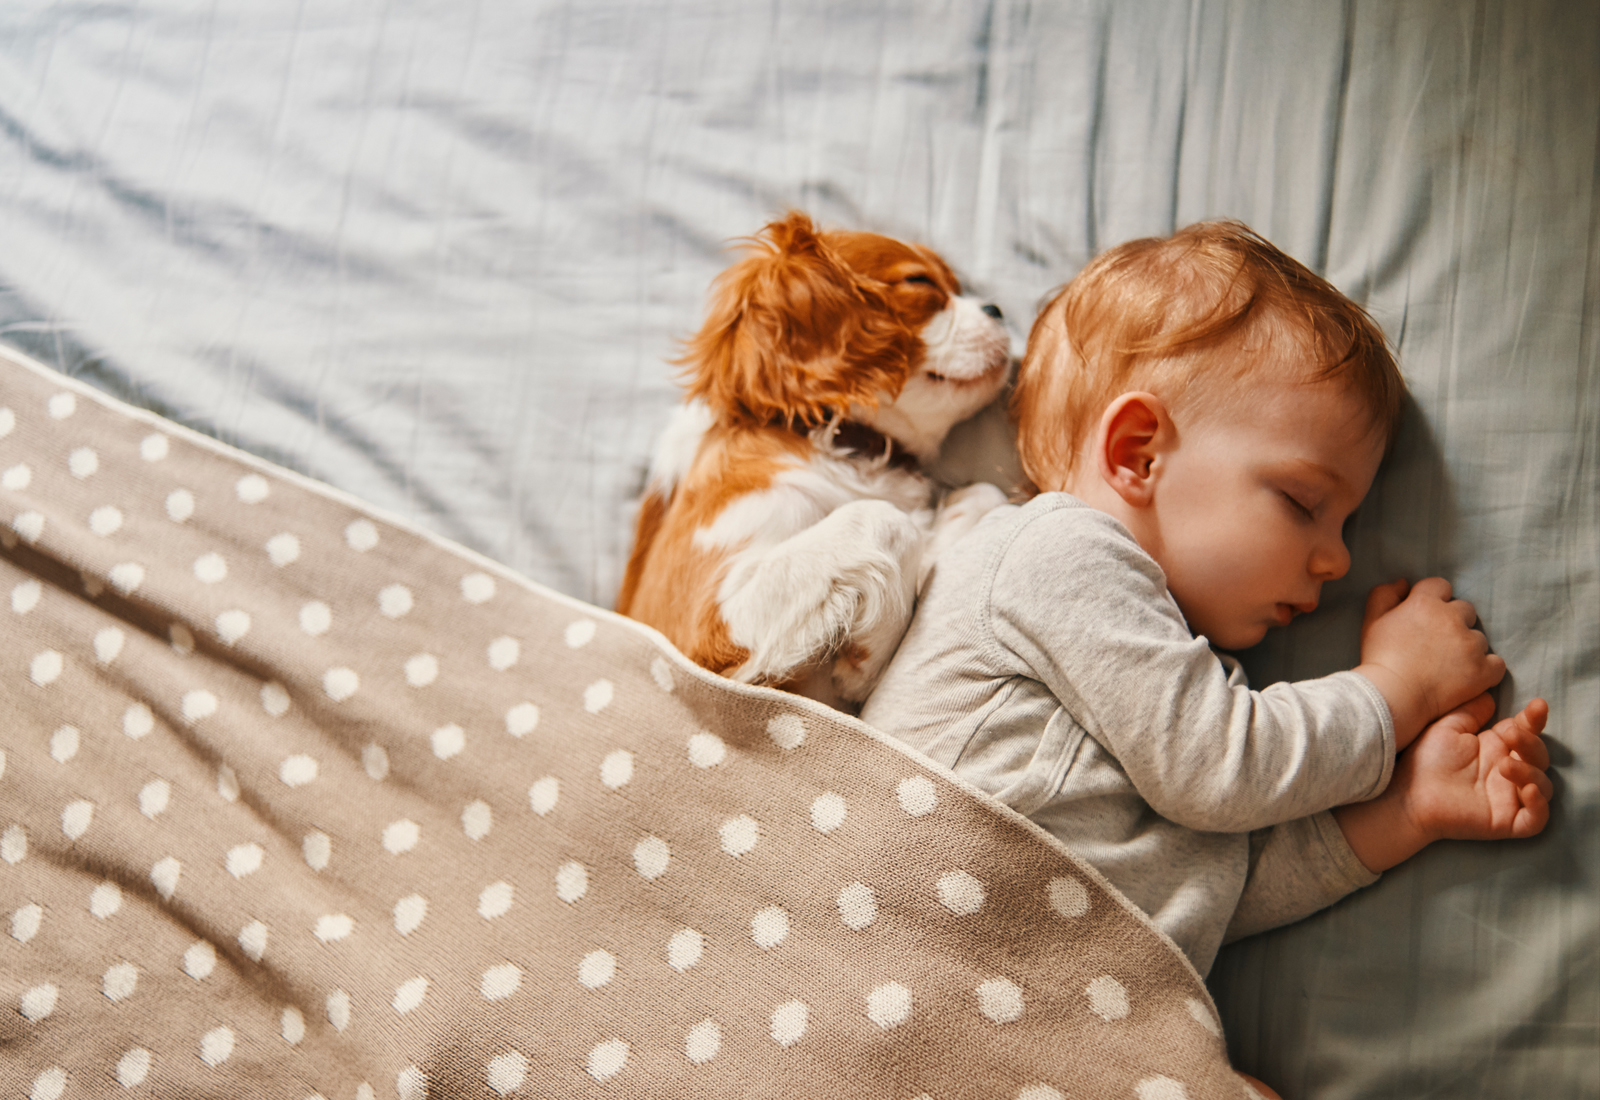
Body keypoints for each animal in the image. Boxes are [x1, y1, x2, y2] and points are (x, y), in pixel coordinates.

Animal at [614, 211, 1004, 709]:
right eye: (920, 282)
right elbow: (883, 517)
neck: (845, 447)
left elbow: (983, 494)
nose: (997, 310)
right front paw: (867, 658)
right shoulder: (693, 631)